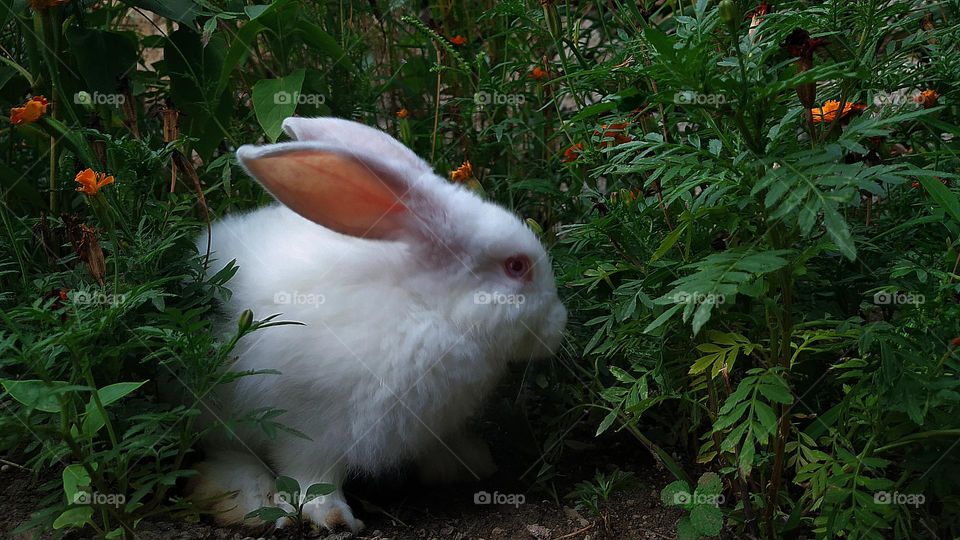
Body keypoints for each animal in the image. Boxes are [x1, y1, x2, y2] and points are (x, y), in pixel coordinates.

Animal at [188, 117, 567, 533]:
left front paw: (471, 462)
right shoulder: (308, 427)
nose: (559, 325)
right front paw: (334, 517)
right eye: (516, 266)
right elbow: (312, 475)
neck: (426, 308)